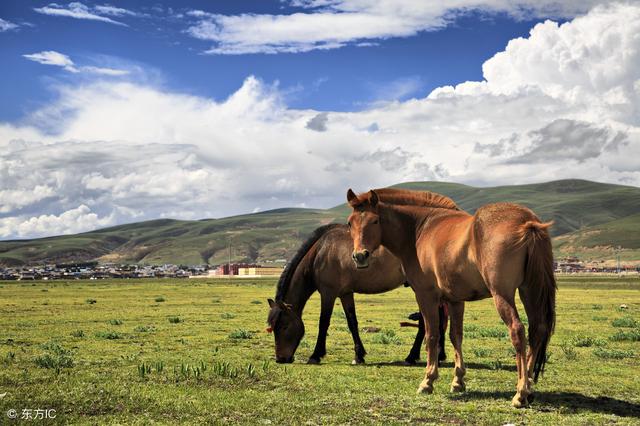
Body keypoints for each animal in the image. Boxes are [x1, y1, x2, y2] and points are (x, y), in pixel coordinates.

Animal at [344, 188, 556, 408]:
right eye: (350, 223)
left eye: (375, 220)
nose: (360, 256)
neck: (420, 229)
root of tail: (527, 222)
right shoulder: (455, 300)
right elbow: (456, 336)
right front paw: (458, 381)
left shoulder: (426, 296)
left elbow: (432, 335)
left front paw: (428, 381)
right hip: (529, 291)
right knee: (537, 330)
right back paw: (529, 386)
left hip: (502, 294)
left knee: (517, 330)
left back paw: (521, 392)